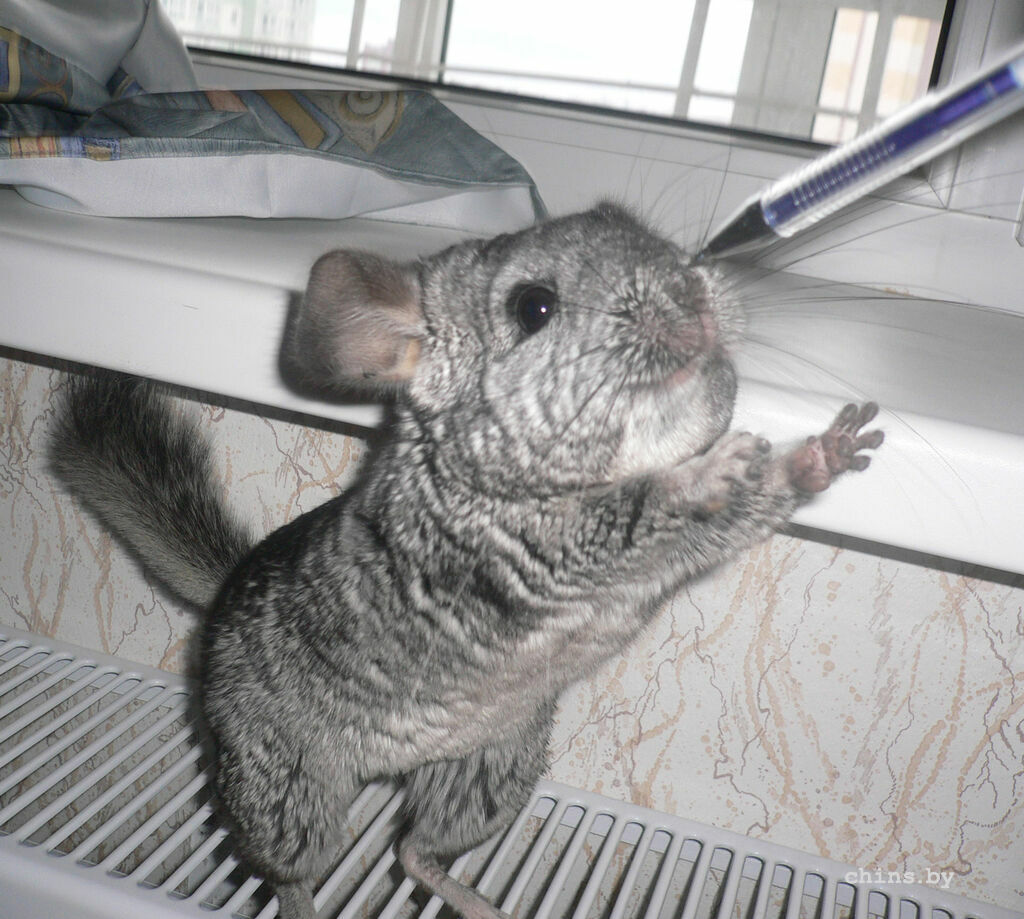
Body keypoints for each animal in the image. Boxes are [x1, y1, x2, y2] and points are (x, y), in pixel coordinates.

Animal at [49, 202, 883, 919]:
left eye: (644, 233)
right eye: (534, 307)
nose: (693, 293)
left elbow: (734, 516)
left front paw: (829, 450)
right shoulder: (530, 550)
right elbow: (639, 513)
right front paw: (720, 469)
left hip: (490, 767)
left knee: (415, 852)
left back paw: (487, 904)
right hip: (287, 786)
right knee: (289, 867)